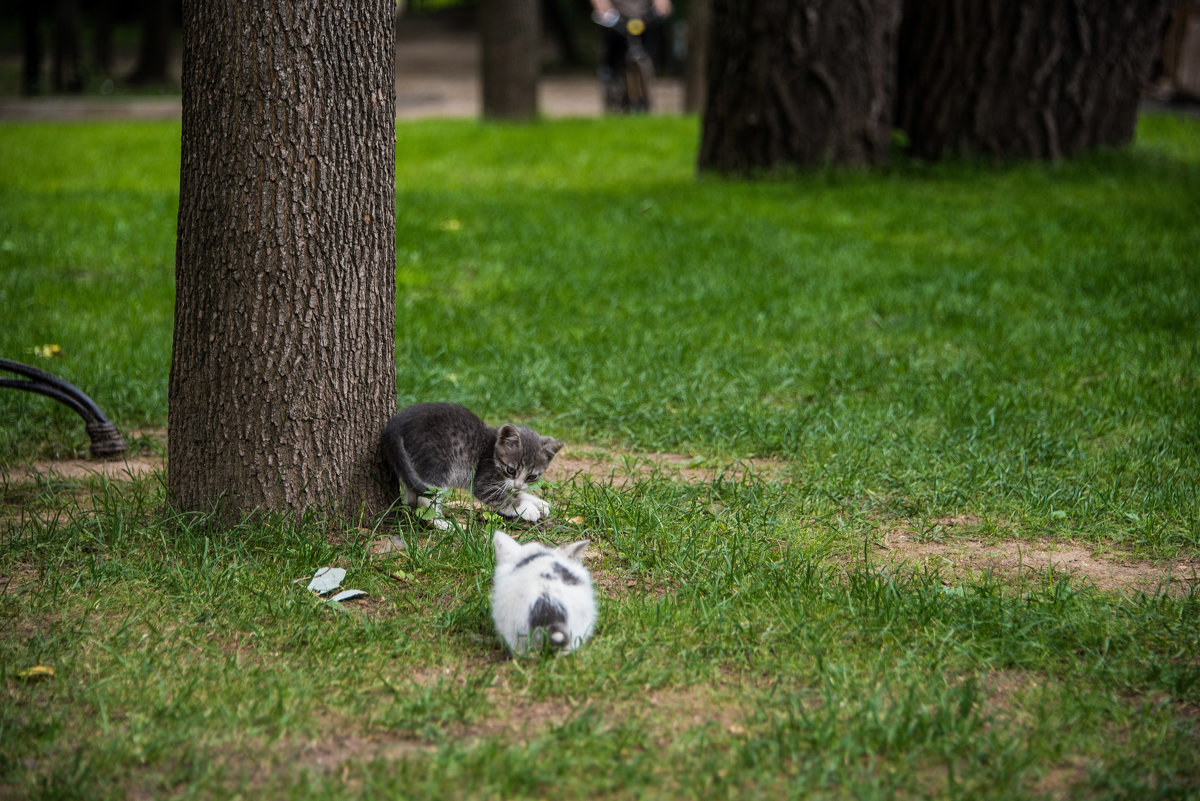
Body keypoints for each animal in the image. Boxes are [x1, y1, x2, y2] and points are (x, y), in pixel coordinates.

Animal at [381, 402, 564, 527]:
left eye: (532, 476)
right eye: (510, 470)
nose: (518, 485)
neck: (492, 450)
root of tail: (398, 423)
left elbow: (513, 493)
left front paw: (538, 502)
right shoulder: (482, 479)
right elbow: (502, 497)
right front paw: (527, 508)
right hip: (438, 461)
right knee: (427, 496)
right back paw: (440, 523)